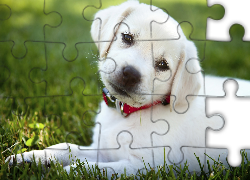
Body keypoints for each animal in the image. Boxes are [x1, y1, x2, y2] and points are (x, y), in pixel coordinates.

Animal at [5, 0, 250, 177]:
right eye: (127, 37)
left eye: (163, 65)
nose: (130, 74)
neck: (128, 114)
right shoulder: (104, 149)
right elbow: (69, 148)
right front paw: (33, 158)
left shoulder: (145, 167)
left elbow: (97, 169)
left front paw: (66, 172)